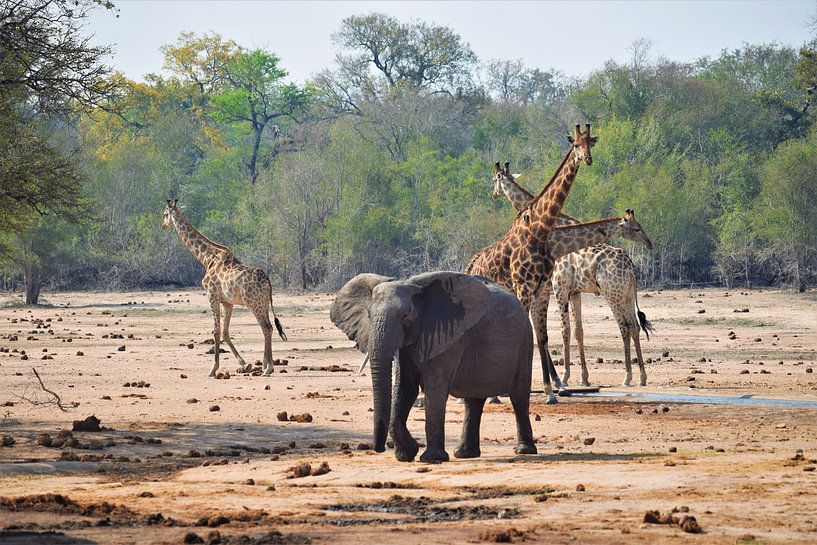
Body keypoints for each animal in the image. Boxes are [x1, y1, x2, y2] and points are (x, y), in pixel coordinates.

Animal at [160, 198, 286, 376]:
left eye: (165, 214)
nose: (163, 225)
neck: (206, 258)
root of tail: (267, 282)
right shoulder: (227, 302)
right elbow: (225, 332)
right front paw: (245, 364)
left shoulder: (212, 296)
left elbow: (216, 331)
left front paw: (213, 369)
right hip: (264, 304)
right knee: (268, 327)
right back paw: (265, 365)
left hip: (254, 303)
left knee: (266, 327)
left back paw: (268, 368)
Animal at [328, 270, 540, 462]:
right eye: (369, 315)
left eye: (405, 316)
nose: (378, 448)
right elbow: (405, 388)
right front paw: (406, 454)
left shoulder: (446, 335)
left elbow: (434, 389)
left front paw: (430, 458)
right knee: (473, 400)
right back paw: (464, 454)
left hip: (525, 341)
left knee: (519, 396)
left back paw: (523, 451)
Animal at [468, 125, 596, 402]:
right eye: (576, 145)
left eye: (590, 142)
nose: (588, 159)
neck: (539, 228)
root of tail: (471, 265)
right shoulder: (526, 288)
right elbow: (531, 333)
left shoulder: (543, 288)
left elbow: (542, 335)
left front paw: (552, 390)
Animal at [490, 166, 656, 386]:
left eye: (494, 179)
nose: (494, 194)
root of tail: (631, 268)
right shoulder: (575, 292)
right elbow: (579, 331)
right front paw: (584, 378)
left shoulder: (560, 288)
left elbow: (565, 330)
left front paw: (565, 376)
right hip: (628, 294)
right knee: (635, 327)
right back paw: (642, 377)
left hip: (613, 294)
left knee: (624, 327)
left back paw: (627, 377)